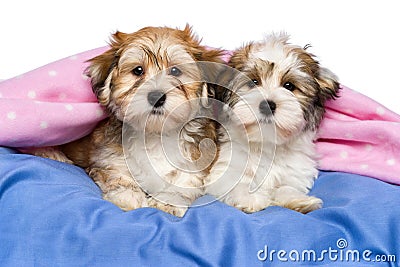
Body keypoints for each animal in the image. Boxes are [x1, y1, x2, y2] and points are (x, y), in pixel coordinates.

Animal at [52, 25, 222, 218]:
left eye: (175, 71)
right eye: (138, 71)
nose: (156, 97)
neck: (155, 133)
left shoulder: (199, 159)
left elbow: (185, 179)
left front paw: (166, 202)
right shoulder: (109, 156)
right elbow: (118, 175)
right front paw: (128, 197)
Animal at [206, 33, 340, 214]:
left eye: (289, 86)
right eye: (253, 82)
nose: (267, 105)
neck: (268, 144)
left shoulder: (294, 171)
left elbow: (287, 187)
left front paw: (299, 200)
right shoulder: (224, 168)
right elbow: (238, 183)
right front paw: (249, 198)